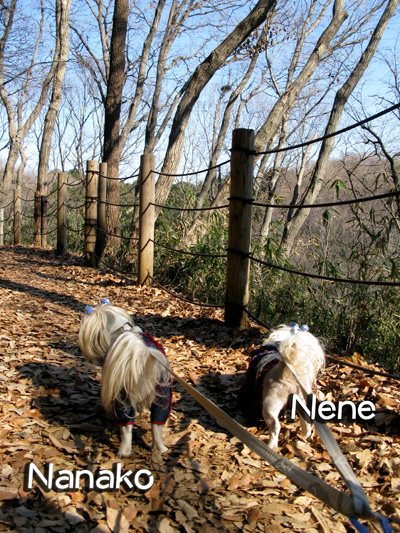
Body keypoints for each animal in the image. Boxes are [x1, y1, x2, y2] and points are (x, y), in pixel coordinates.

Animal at [79, 300, 171, 458]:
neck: (123, 329)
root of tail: (143, 354)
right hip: (162, 394)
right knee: (157, 423)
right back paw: (160, 448)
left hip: (122, 393)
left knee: (126, 427)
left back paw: (124, 451)